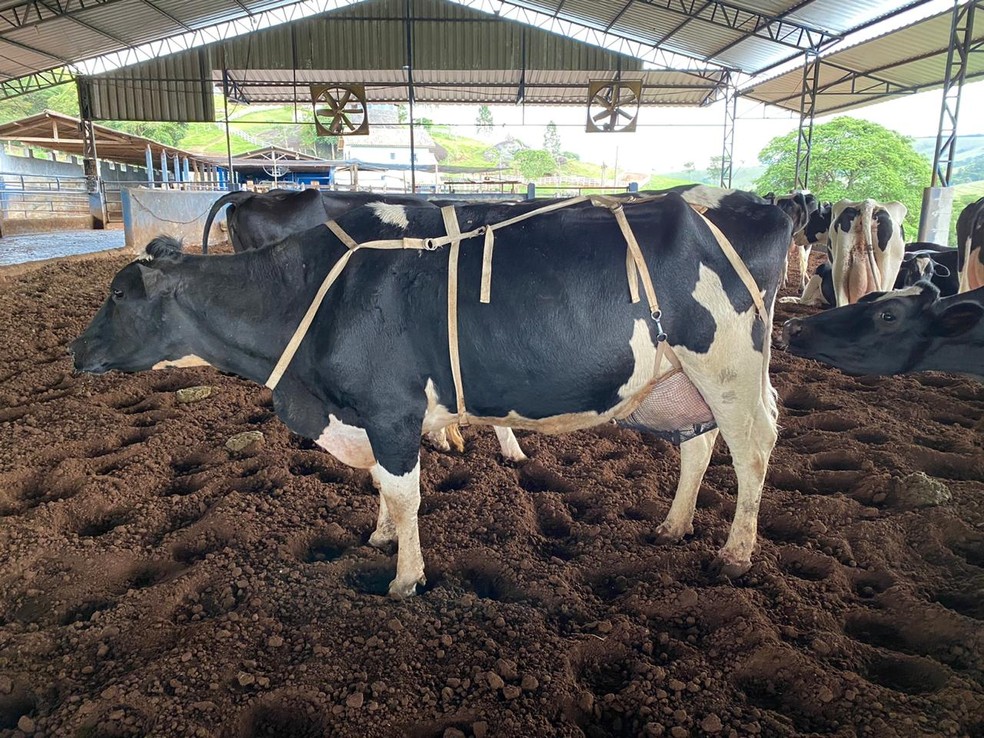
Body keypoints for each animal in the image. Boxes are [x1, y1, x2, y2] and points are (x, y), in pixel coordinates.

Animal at [71, 193, 792, 596]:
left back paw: (735, 554)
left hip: (728, 363)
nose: (75, 350)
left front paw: (405, 577)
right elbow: (382, 489)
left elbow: (404, 491)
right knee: (700, 446)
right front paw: (380, 537)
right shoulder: (365, 413)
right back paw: (673, 525)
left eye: (117, 294)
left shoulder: (391, 410)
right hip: (681, 379)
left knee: (754, 446)